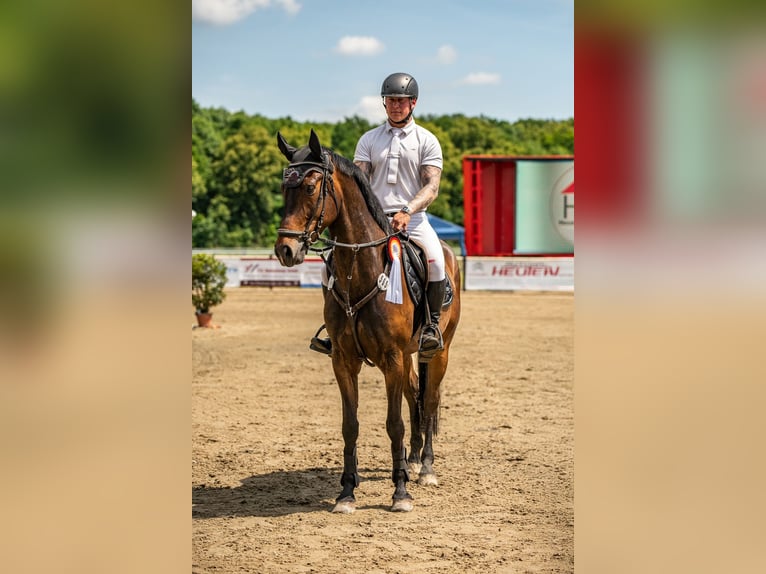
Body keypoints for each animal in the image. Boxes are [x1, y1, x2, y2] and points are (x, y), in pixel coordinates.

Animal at [274, 129, 461, 513]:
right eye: (284, 188)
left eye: (311, 187)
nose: (286, 250)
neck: (361, 270)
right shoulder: (344, 359)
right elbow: (351, 425)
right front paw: (347, 492)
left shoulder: (392, 357)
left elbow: (393, 424)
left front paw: (400, 493)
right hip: (408, 358)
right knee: (415, 394)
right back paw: (413, 459)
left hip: (438, 351)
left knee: (430, 399)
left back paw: (425, 469)